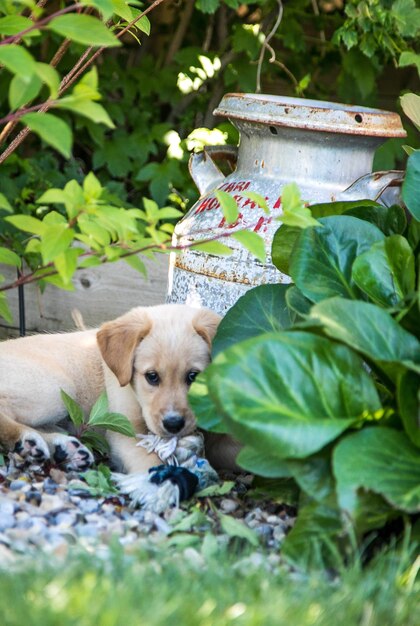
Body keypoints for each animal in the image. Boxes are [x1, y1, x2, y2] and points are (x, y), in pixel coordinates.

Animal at [0, 304, 236, 470]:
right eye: (152, 377)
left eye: (194, 376)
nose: (173, 424)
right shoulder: (125, 432)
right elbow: (149, 462)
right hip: (57, 388)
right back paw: (27, 441)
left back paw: (64, 448)